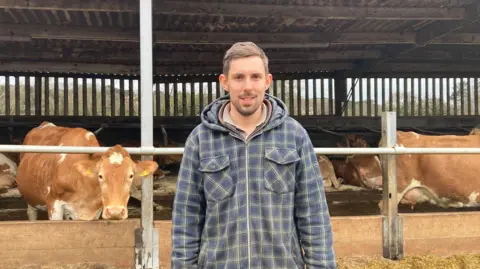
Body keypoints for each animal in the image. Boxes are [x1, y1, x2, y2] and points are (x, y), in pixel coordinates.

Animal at [15, 121, 158, 220]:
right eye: (100, 176)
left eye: (131, 176)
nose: (115, 212)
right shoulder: (54, 205)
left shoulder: (94, 211)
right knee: (31, 213)